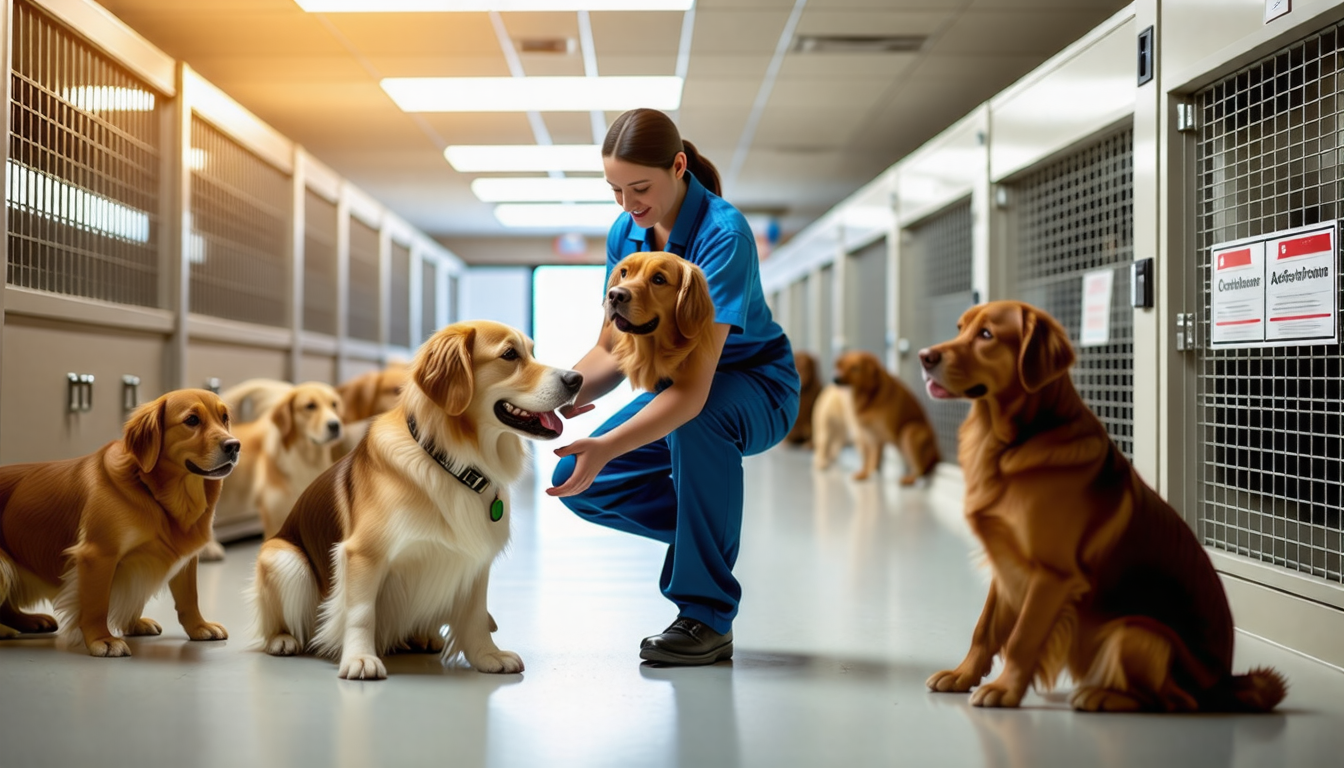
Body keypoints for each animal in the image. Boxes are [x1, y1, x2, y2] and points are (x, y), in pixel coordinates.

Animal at [0, 392, 236, 659]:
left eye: (224, 418)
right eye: (192, 420)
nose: (234, 445)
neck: (151, 490)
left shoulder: (182, 558)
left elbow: (188, 598)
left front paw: (197, 626)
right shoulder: (97, 555)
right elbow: (97, 605)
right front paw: (102, 639)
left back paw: (30, 621)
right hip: (2, 566)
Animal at [252, 321, 583, 683]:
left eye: (532, 352)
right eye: (510, 355)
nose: (576, 379)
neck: (453, 462)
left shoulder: (476, 560)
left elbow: (475, 614)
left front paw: (486, 655)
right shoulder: (363, 554)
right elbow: (361, 612)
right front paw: (360, 658)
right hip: (284, 559)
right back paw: (282, 639)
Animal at [827, 352, 935, 484]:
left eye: (855, 368)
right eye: (840, 366)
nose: (835, 379)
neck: (867, 397)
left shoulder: (875, 437)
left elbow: (872, 458)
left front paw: (869, 473)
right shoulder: (865, 435)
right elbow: (868, 459)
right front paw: (864, 473)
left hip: (909, 431)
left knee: (921, 468)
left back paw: (910, 478)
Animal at [919, 299, 1284, 715]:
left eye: (986, 335)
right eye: (960, 328)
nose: (924, 356)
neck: (1012, 442)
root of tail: (1225, 683)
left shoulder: (1053, 575)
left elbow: (1023, 636)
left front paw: (1004, 690)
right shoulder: (1007, 562)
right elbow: (984, 628)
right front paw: (962, 675)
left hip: (1133, 632)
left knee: (1175, 701)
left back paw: (1103, 695)